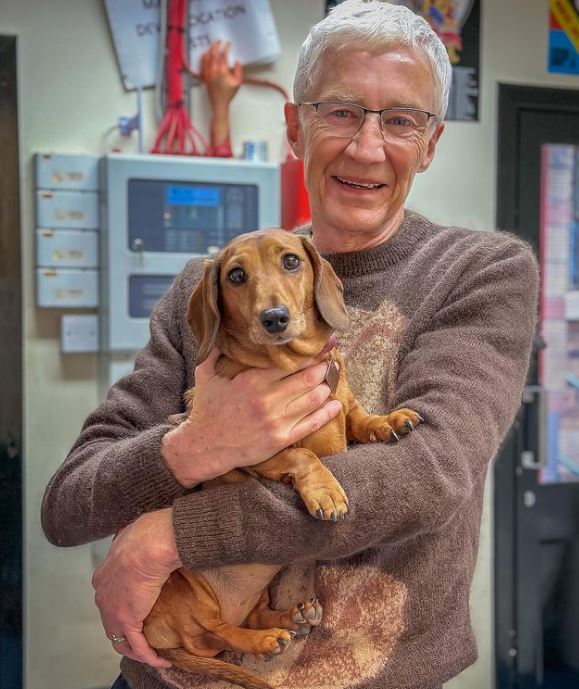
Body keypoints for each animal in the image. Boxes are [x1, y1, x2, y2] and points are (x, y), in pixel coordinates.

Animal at [142, 231, 420, 688]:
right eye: (236, 275)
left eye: (291, 261)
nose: (274, 318)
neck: (292, 364)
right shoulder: (253, 453)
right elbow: (302, 453)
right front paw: (325, 491)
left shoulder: (343, 406)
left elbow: (359, 418)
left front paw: (389, 420)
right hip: (183, 588)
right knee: (215, 632)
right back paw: (265, 639)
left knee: (249, 615)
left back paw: (292, 617)